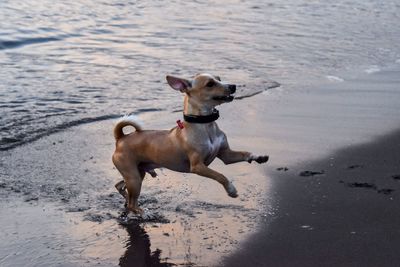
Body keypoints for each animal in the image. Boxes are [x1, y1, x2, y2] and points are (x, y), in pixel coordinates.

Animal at [112, 74, 268, 216]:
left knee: (120, 187)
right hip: (134, 178)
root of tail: (121, 138)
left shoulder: (226, 155)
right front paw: (231, 189)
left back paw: (127, 200)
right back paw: (142, 213)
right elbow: (220, 175)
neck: (205, 125)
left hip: (138, 173)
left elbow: (244, 153)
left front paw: (258, 157)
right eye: (210, 84)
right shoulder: (198, 166)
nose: (233, 86)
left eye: (219, 78)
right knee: (132, 202)